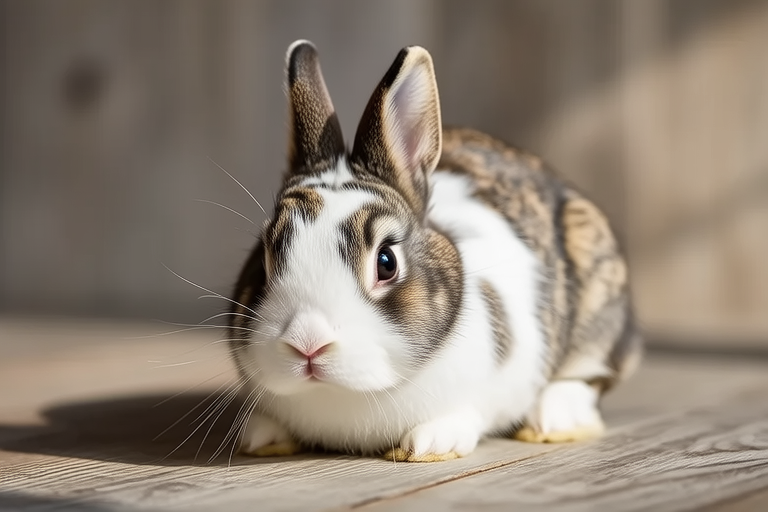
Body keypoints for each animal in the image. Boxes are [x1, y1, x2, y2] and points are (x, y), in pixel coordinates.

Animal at [226, 40, 642, 462]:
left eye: (386, 262)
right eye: (265, 258)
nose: (307, 344)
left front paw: (430, 444)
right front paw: (261, 437)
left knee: (591, 377)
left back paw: (553, 420)